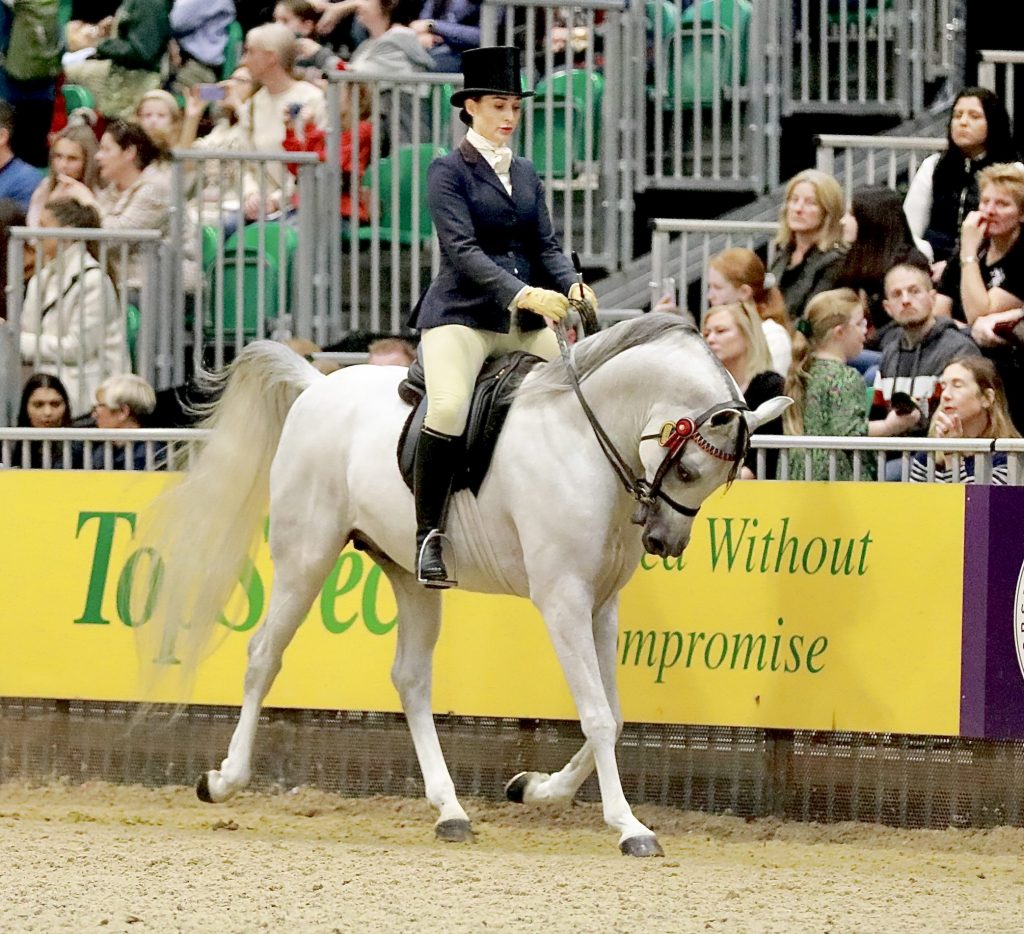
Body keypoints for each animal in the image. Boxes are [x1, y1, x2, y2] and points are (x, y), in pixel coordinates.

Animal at [140, 314, 789, 857]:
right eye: (689, 468)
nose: (664, 542)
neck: (584, 441)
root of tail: (316, 385)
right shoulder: (564, 599)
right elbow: (598, 716)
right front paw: (629, 826)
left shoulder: (601, 604)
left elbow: (616, 714)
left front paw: (536, 789)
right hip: (306, 557)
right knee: (263, 656)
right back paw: (223, 781)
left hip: (408, 574)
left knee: (410, 679)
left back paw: (450, 809)